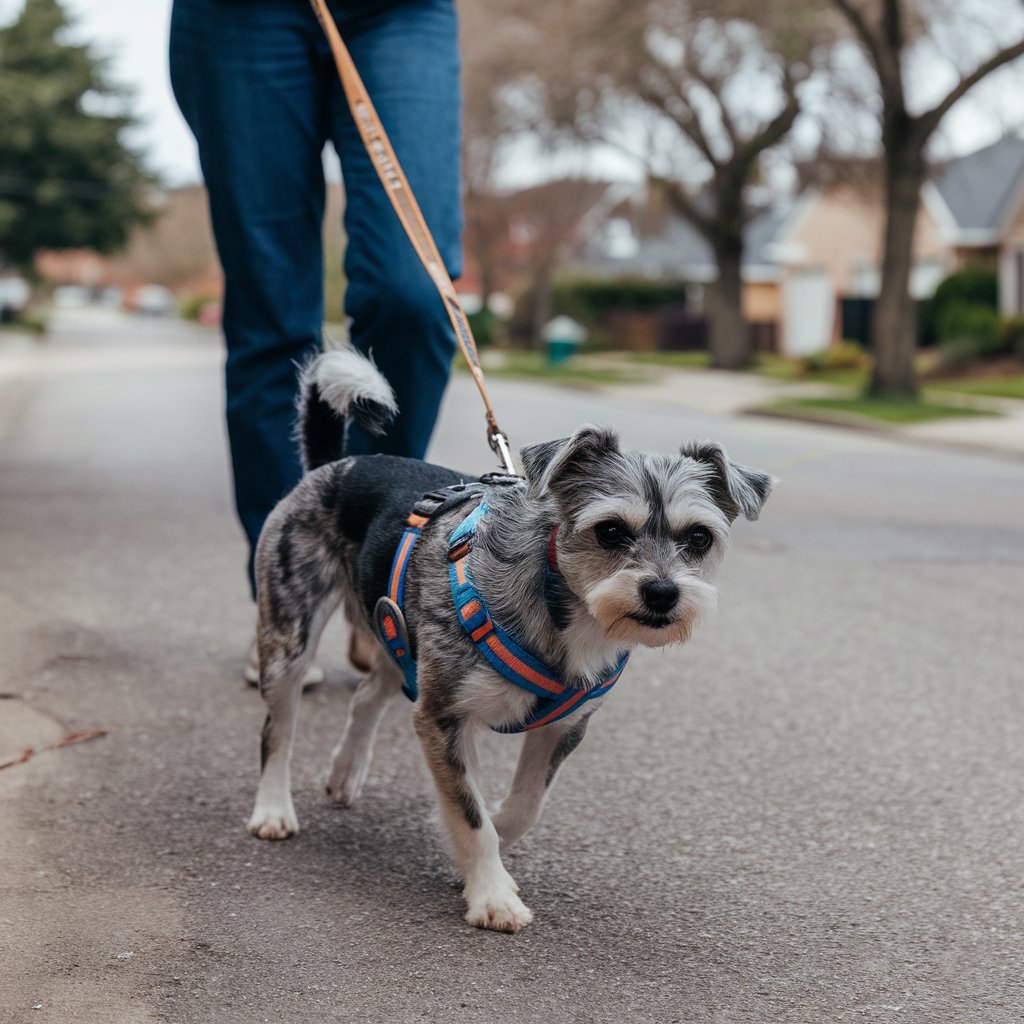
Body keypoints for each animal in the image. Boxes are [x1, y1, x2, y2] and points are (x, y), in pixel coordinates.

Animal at [249, 348, 774, 933]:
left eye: (699, 537)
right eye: (610, 530)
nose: (662, 593)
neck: (560, 607)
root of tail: (334, 467)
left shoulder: (562, 727)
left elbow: (521, 807)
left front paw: (487, 851)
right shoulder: (444, 717)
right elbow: (469, 811)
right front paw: (492, 894)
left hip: (398, 635)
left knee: (367, 696)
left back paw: (344, 774)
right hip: (290, 638)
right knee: (278, 729)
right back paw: (273, 809)